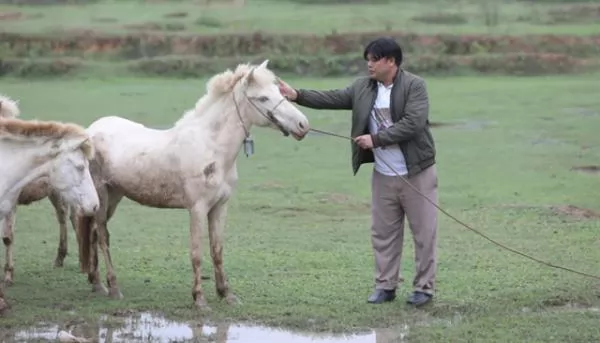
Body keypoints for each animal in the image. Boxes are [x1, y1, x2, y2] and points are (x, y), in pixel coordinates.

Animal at [74, 59, 310, 312]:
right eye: (263, 98)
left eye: (279, 92)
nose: (303, 125)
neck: (211, 147)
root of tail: (90, 132)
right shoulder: (197, 209)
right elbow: (196, 252)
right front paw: (200, 299)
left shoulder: (219, 207)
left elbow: (217, 250)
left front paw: (226, 294)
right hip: (101, 195)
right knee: (103, 236)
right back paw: (113, 288)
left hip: (114, 196)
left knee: (93, 233)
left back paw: (97, 284)